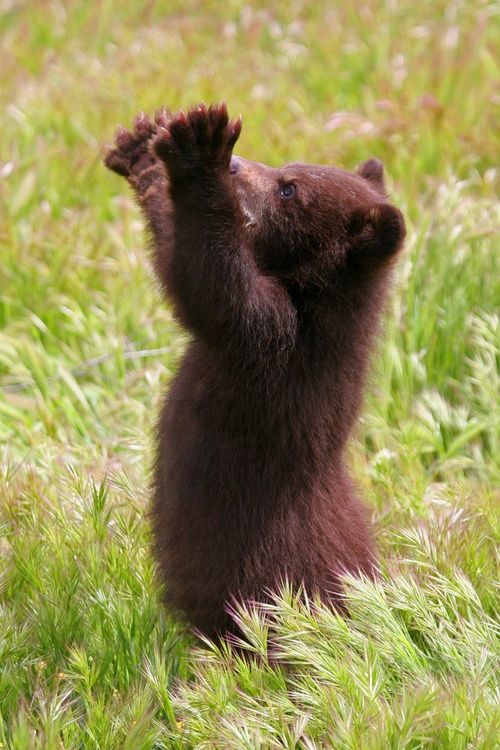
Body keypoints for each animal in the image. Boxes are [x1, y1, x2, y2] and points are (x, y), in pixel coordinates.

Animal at [104, 103, 406, 640]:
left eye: (289, 188)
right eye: (289, 167)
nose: (238, 164)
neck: (314, 295)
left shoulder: (278, 345)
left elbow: (212, 286)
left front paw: (200, 149)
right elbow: (179, 253)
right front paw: (143, 151)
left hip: (270, 574)